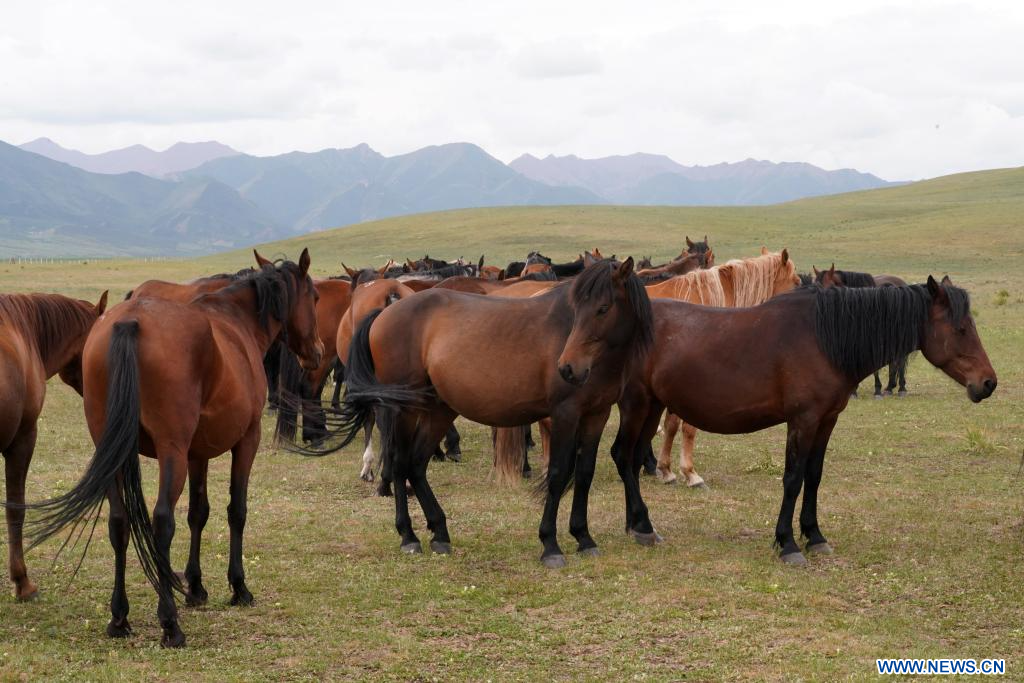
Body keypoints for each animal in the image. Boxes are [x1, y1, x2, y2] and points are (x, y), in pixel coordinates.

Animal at [20, 250, 323, 647]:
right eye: (315, 297)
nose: (317, 353)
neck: (235, 324)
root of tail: (130, 320)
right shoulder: (246, 441)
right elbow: (235, 510)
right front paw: (238, 587)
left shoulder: (197, 454)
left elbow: (198, 512)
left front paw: (195, 586)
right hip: (171, 453)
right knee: (162, 521)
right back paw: (170, 623)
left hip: (115, 453)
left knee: (119, 522)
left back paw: (119, 618)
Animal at [303, 259, 653, 567]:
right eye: (577, 310)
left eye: (603, 308)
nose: (569, 368)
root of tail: (384, 313)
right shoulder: (565, 415)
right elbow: (557, 474)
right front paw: (550, 544)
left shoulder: (597, 415)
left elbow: (584, 474)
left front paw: (583, 537)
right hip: (404, 410)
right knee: (400, 462)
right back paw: (409, 536)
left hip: (438, 411)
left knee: (416, 464)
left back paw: (440, 532)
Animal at [814, 264, 911, 398]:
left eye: (829, 287)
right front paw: (853, 391)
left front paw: (877, 390)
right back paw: (890, 387)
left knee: (900, 361)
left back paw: (901, 388)